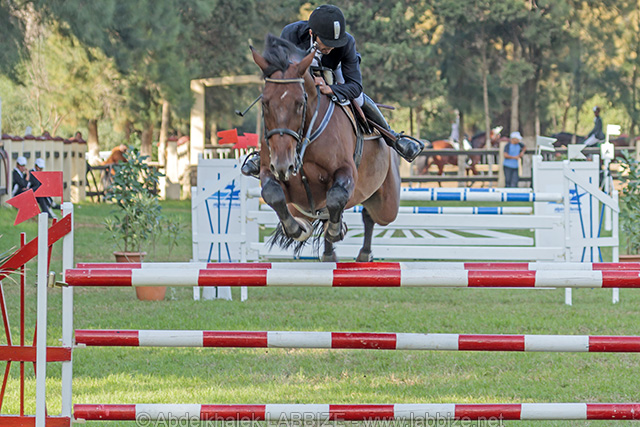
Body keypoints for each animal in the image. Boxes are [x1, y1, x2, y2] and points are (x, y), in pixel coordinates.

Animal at [252, 34, 401, 262]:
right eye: (265, 103)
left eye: (300, 103)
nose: (284, 165)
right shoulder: (272, 172)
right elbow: (272, 193)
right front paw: (296, 229)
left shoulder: (346, 172)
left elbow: (336, 196)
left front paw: (336, 230)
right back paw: (328, 251)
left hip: (387, 204)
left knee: (371, 214)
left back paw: (364, 253)